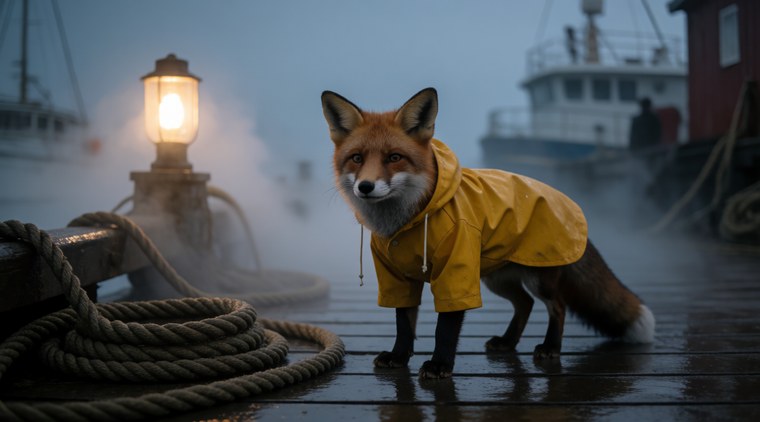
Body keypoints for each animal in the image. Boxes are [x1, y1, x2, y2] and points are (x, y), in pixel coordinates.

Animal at [321, 87, 655, 379]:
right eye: (357, 158)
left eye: (394, 157)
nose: (365, 187)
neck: (408, 221)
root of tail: (567, 204)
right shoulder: (396, 276)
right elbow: (404, 324)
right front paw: (399, 357)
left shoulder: (457, 270)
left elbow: (445, 328)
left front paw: (440, 365)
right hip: (498, 278)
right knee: (525, 304)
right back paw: (507, 342)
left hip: (538, 278)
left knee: (557, 306)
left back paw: (550, 347)